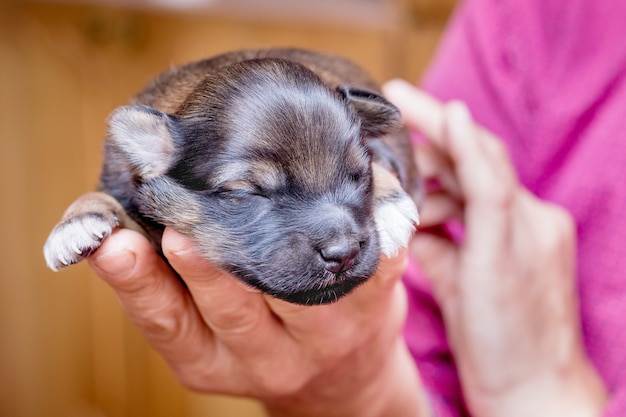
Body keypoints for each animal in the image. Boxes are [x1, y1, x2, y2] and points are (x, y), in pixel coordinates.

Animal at [44, 47, 420, 304]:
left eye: (358, 175)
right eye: (246, 192)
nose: (344, 253)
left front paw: (389, 204)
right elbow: (104, 197)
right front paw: (77, 220)